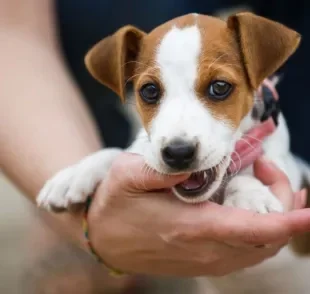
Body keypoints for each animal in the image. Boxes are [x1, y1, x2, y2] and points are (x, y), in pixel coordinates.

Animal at [37, 10, 310, 292]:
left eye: (220, 87)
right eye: (149, 91)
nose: (178, 152)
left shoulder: (290, 173)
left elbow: (252, 170)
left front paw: (250, 197)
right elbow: (117, 153)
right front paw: (75, 174)